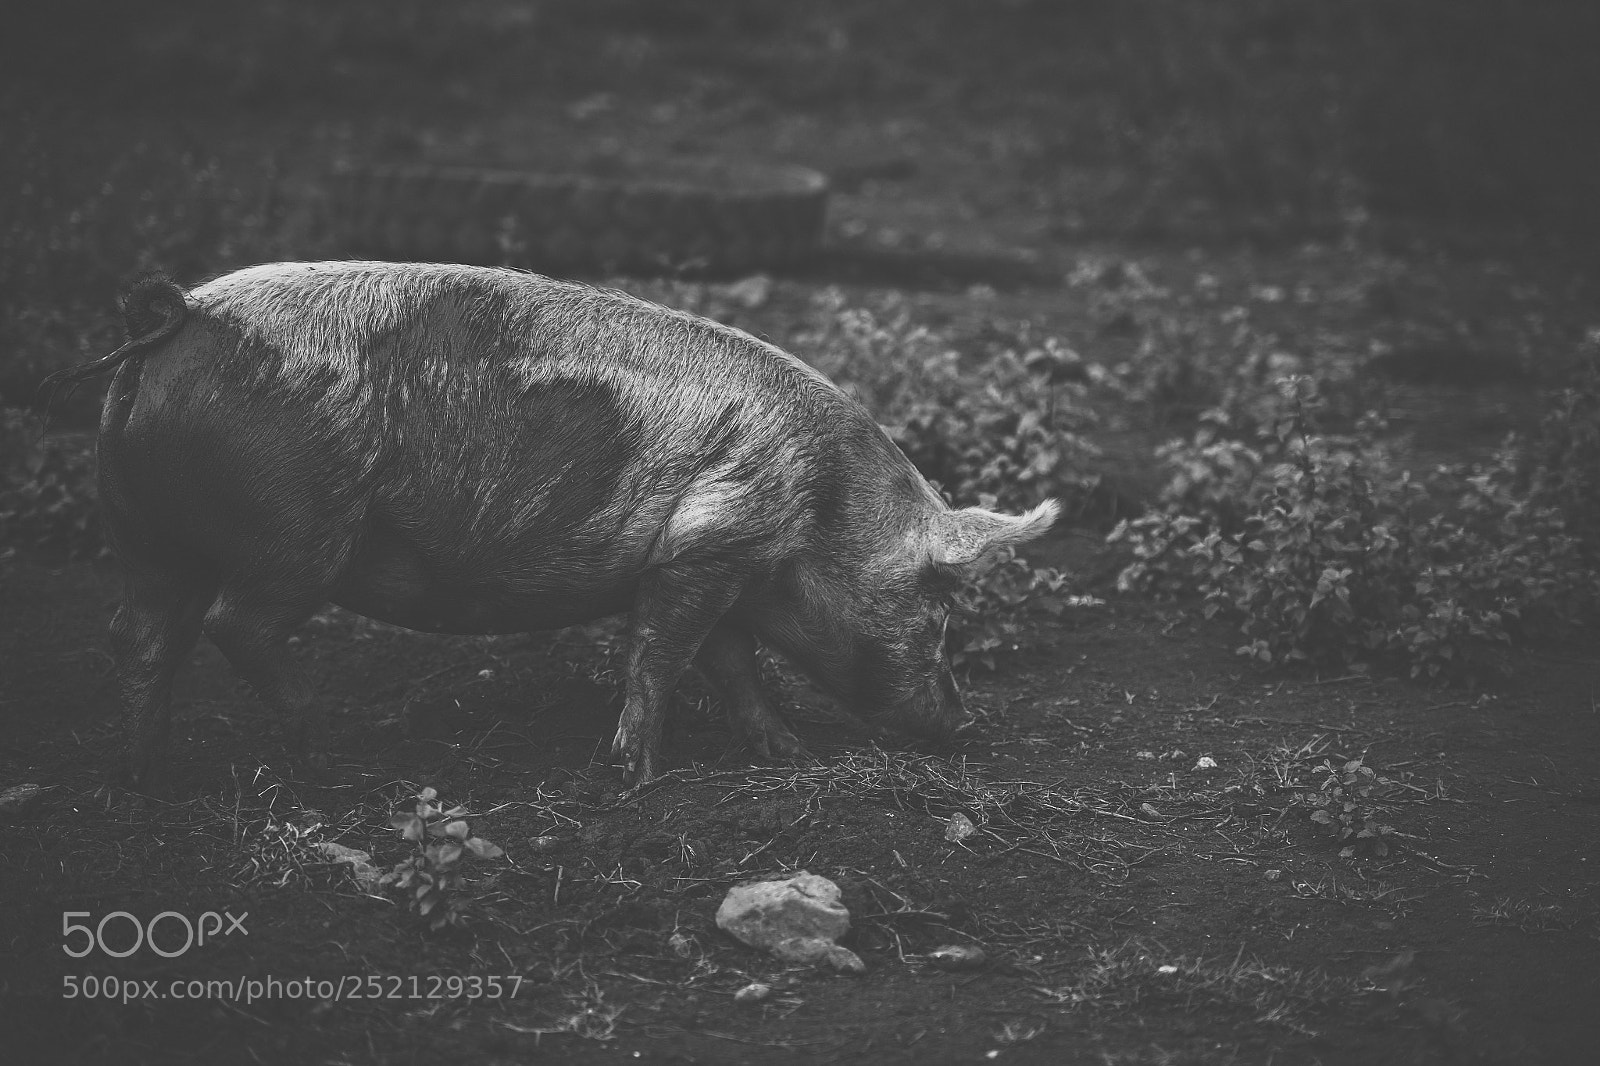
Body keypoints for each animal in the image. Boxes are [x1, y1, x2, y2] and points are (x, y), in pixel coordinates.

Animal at [42, 262, 1059, 789]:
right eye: (938, 612)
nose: (970, 725)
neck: (824, 507)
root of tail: (176, 319)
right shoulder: (712, 538)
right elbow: (663, 653)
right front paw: (635, 777)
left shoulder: (715, 562)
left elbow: (731, 662)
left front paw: (785, 752)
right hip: (294, 530)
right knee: (233, 625)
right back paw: (325, 746)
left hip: (142, 531)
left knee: (141, 634)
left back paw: (145, 774)